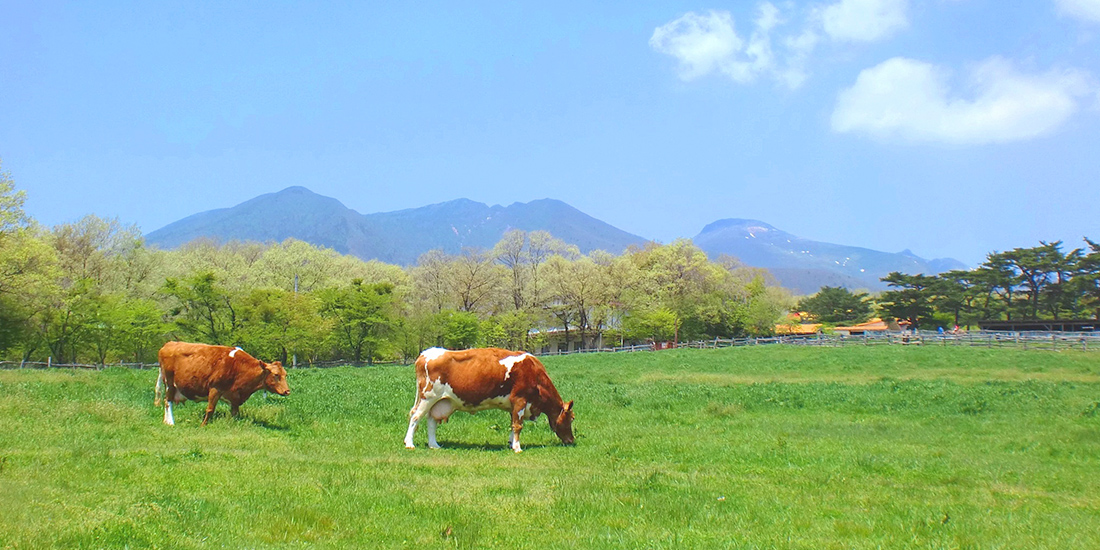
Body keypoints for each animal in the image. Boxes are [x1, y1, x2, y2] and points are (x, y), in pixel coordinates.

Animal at [158, 341, 292, 426]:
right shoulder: (215, 388)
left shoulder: (235, 396)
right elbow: (210, 409)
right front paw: (203, 425)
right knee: (168, 401)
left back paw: (166, 421)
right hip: (169, 383)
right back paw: (171, 422)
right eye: (276, 375)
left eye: (285, 374)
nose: (287, 391)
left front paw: (233, 424)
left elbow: (235, 413)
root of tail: (168, 344)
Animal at [404, 347, 576, 451]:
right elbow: (518, 426)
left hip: (439, 401)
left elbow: (512, 424)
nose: (571, 440)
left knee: (431, 420)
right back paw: (409, 443)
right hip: (428, 397)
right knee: (415, 416)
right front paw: (517, 448)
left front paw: (511, 443)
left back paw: (434, 445)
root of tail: (426, 353)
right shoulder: (520, 399)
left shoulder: (513, 406)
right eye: (572, 418)